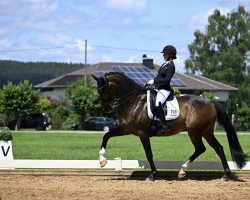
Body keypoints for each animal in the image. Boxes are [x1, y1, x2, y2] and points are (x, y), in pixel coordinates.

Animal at [91, 72, 247, 181]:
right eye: (98, 91)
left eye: (103, 90)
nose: (106, 109)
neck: (133, 101)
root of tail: (211, 102)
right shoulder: (126, 129)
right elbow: (106, 135)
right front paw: (102, 160)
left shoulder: (142, 133)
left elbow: (149, 154)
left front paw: (153, 175)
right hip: (206, 131)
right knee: (217, 148)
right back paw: (224, 175)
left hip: (195, 131)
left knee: (201, 148)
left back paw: (183, 170)